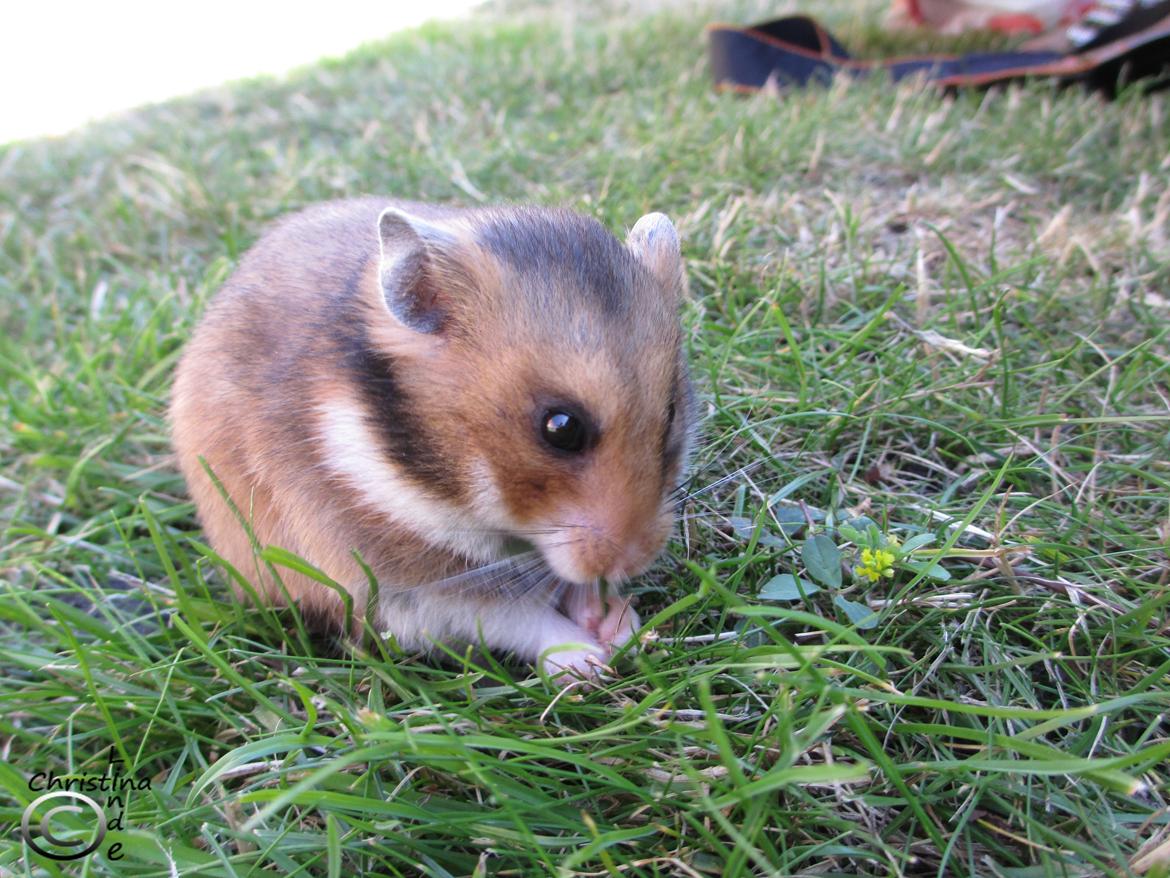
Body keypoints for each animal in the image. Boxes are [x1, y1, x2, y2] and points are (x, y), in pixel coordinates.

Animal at [170, 197, 695, 678]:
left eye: (671, 411)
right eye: (561, 428)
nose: (637, 561)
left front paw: (620, 626)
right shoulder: (398, 591)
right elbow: (513, 616)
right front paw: (589, 661)